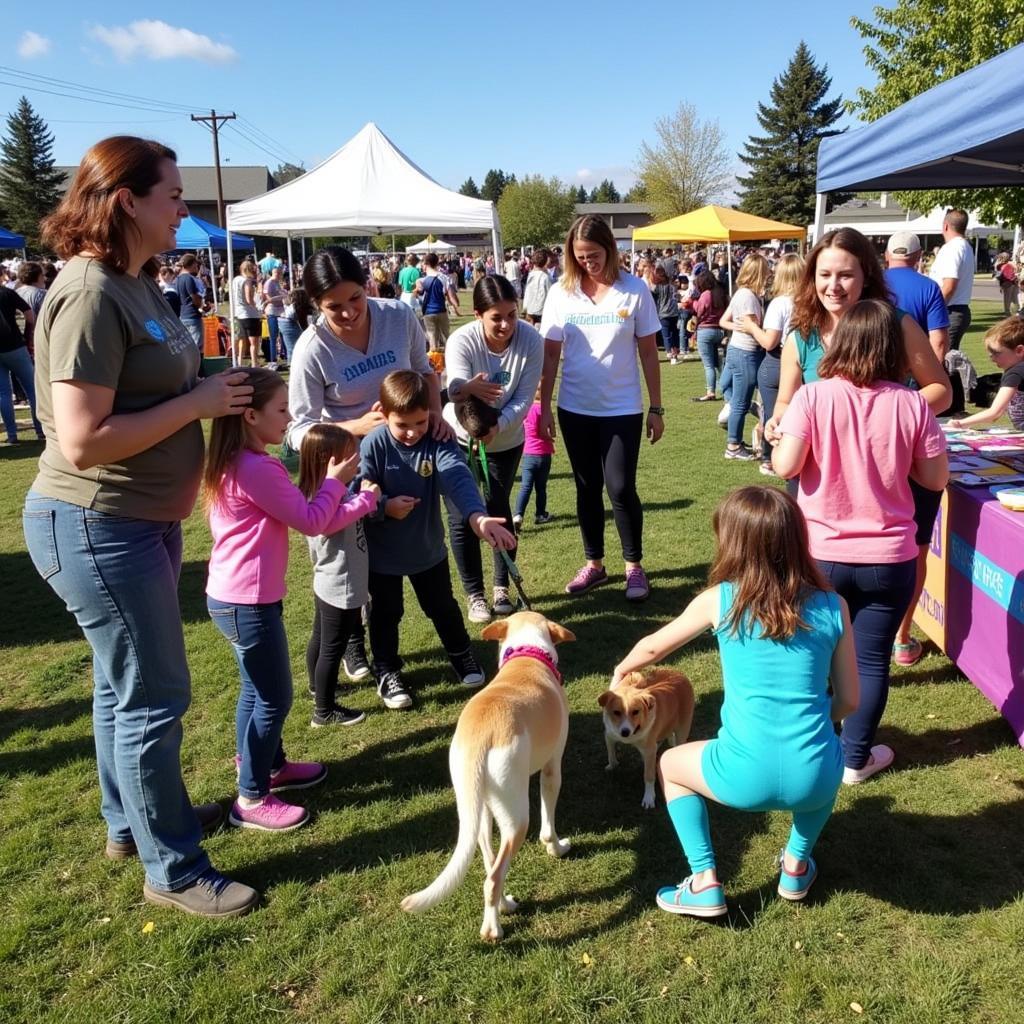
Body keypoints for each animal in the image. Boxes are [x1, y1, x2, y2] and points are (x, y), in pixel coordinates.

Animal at [399, 610, 577, 937]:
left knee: (490, 863)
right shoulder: (552, 768)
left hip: (477, 805)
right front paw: (557, 849)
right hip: (517, 818)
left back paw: (504, 906)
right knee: (494, 876)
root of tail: (482, 734)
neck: (528, 655)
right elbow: (548, 827)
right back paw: (493, 928)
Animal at [598, 671, 696, 806]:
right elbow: (611, 754)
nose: (625, 732)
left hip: (682, 729)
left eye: (636, 711)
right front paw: (612, 765)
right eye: (616, 712)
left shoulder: (650, 750)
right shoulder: (609, 735)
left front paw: (649, 797)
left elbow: (648, 776)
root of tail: (678, 674)